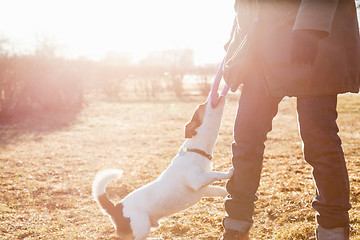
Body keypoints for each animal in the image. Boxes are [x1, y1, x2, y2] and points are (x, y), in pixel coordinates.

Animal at [92, 94, 233, 240]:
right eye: (201, 106)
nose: (214, 94)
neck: (196, 150)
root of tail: (115, 209)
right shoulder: (196, 181)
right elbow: (215, 174)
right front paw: (229, 172)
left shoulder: (204, 189)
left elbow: (219, 189)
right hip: (141, 228)